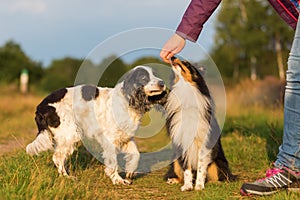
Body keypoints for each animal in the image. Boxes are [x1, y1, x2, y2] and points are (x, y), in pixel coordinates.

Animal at [26, 65, 168, 184]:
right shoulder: (110, 140)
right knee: (57, 157)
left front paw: (130, 172)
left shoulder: (125, 137)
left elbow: (136, 154)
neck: (126, 101)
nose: (162, 83)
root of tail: (41, 106)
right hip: (69, 134)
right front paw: (117, 180)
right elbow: (112, 162)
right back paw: (67, 177)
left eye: (155, 74)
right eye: (143, 77)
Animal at [163, 57, 236, 191]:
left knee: (219, 177)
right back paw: (174, 180)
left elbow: (201, 168)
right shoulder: (182, 142)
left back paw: (213, 183)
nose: (172, 57)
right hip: (175, 160)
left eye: (187, 64)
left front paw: (199, 186)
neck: (185, 89)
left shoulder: (204, 142)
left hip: (216, 162)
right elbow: (187, 169)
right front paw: (187, 186)